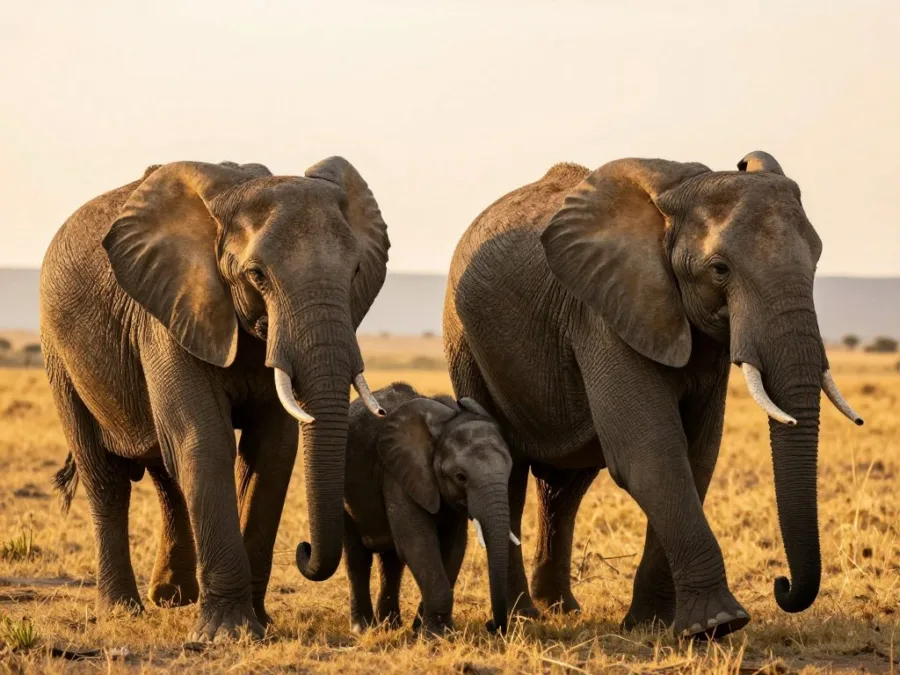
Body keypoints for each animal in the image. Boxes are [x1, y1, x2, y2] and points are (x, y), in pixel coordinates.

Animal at [41, 157, 390, 642]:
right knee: (106, 478)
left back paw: (173, 597)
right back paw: (122, 611)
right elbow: (204, 439)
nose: (304, 550)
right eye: (257, 275)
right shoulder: (169, 313)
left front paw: (258, 623)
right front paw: (227, 634)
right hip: (59, 355)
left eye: (356, 272)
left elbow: (272, 452)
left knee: (166, 471)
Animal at [329, 382, 515, 635]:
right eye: (460, 477)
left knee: (391, 561)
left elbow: (453, 547)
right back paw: (363, 628)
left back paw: (391, 625)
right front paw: (435, 635)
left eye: (509, 471)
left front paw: (425, 629)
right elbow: (418, 542)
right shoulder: (398, 472)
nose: (492, 625)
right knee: (358, 557)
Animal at [442, 151, 863, 639]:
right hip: (465, 342)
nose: (782, 585)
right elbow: (650, 453)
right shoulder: (604, 313)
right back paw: (519, 617)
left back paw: (560, 609)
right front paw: (718, 625)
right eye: (720, 269)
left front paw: (654, 625)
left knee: (565, 485)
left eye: (815, 261)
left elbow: (698, 455)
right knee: (506, 468)